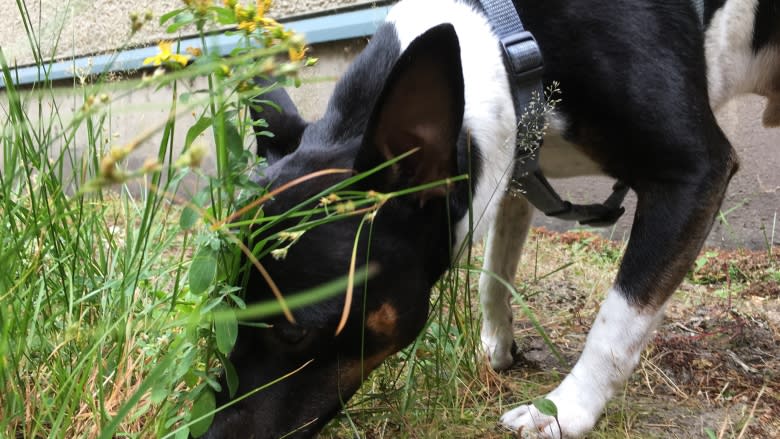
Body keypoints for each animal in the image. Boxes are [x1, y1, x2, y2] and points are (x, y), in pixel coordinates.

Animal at [207, 0, 780, 438]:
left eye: (294, 334)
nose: (210, 434)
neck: (510, 41)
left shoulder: (694, 173)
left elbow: (619, 318)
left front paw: (565, 411)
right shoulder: (516, 173)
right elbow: (492, 276)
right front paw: (496, 348)